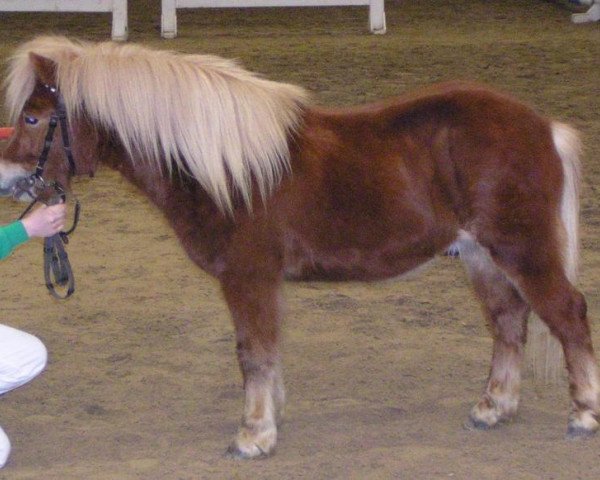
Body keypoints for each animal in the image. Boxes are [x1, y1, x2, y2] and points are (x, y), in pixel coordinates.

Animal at [0, 36, 596, 458]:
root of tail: (542, 127)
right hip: (480, 257)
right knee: (508, 322)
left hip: (521, 250)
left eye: (32, 116)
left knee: (567, 314)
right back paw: (493, 408)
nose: (8, 180)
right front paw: (270, 418)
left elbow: (253, 353)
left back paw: (584, 414)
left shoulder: (247, 278)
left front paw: (253, 435)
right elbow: (266, 352)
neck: (224, 168)